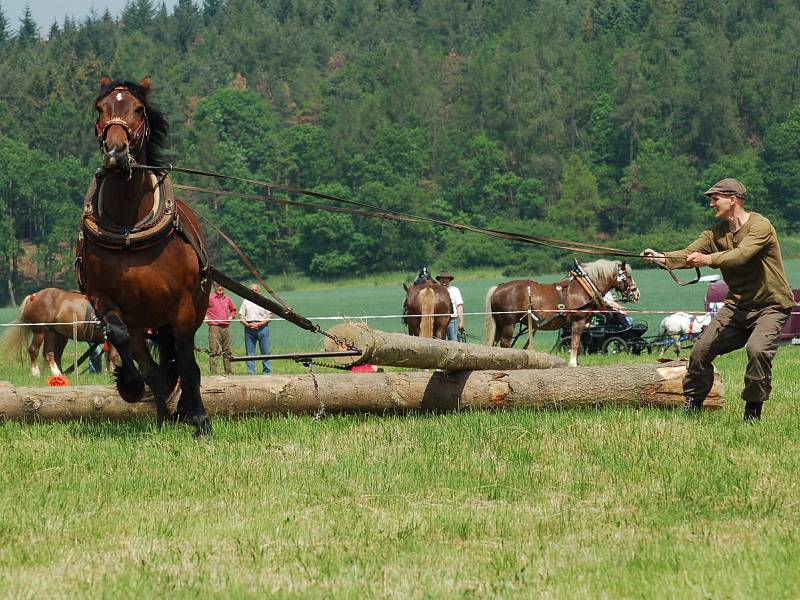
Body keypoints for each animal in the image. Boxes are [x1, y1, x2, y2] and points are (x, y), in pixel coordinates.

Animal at [75, 77, 211, 436]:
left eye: (137, 109)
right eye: (100, 108)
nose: (115, 151)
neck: (129, 229)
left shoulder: (181, 305)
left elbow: (187, 362)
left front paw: (200, 420)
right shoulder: (102, 298)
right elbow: (122, 340)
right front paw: (131, 385)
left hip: (192, 309)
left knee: (183, 357)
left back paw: (188, 410)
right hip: (142, 321)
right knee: (148, 361)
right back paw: (165, 415)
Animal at [484, 260, 640, 368]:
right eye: (628, 275)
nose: (636, 293)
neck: (584, 288)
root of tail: (497, 288)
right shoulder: (578, 321)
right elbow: (575, 342)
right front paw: (573, 363)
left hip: (499, 324)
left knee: (495, 344)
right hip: (508, 323)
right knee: (505, 343)